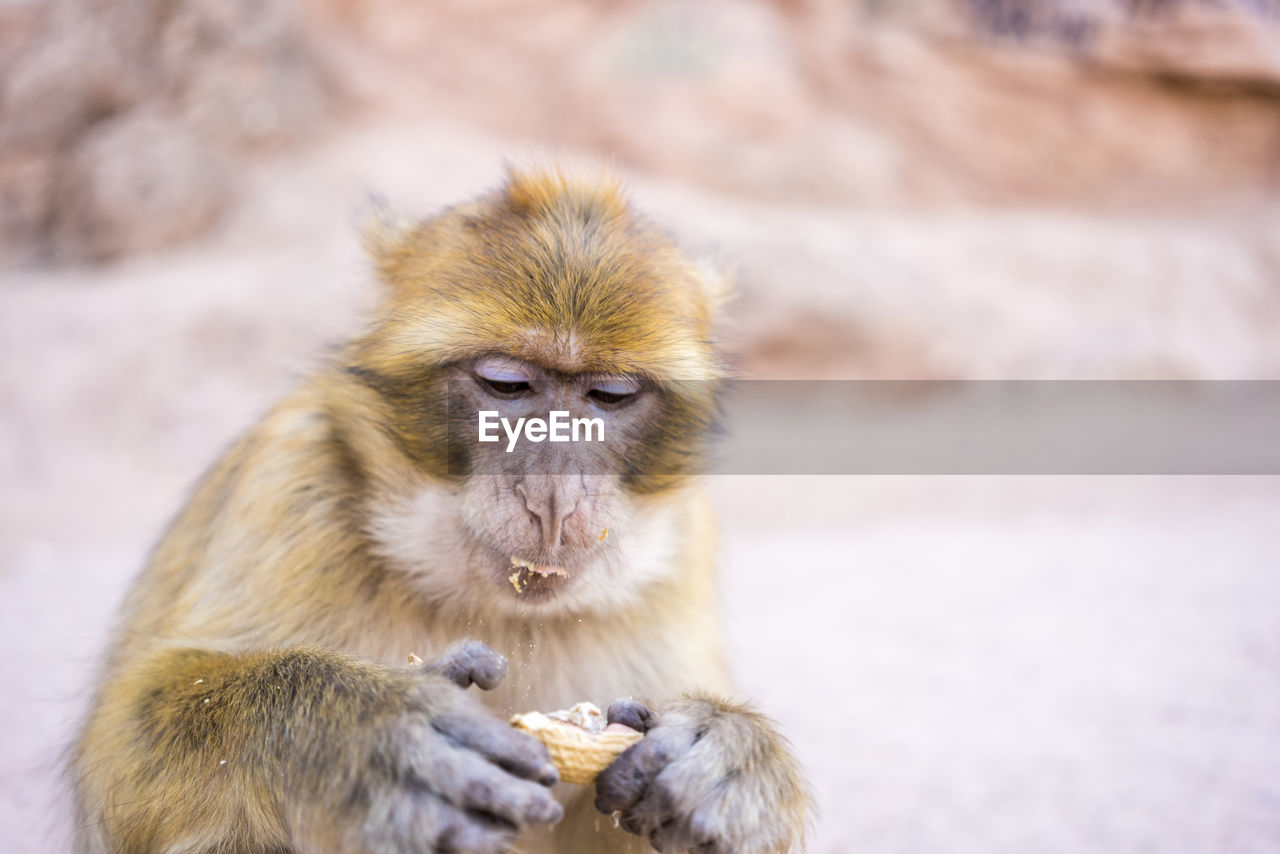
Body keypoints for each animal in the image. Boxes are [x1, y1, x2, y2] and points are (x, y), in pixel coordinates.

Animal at [67, 169, 808, 854]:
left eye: (611, 395)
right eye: (506, 385)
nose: (554, 498)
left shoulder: (683, 551)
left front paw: (730, 758)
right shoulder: (291, 479)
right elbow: (124, 744)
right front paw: (371, 729)